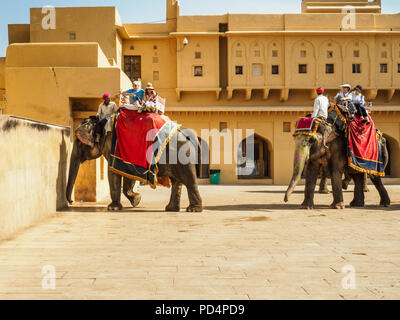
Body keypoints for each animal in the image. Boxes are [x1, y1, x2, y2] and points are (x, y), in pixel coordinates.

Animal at [67, 117, 203, 212]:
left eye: (78, 142)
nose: (72, 201)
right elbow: (127, 174)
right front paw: (136, 200)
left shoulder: (114, 147)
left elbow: (112, 173)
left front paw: (113, 208)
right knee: (176, 181)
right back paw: (170, 209)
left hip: (184, 154)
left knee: (189, 179)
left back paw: (193, 210)